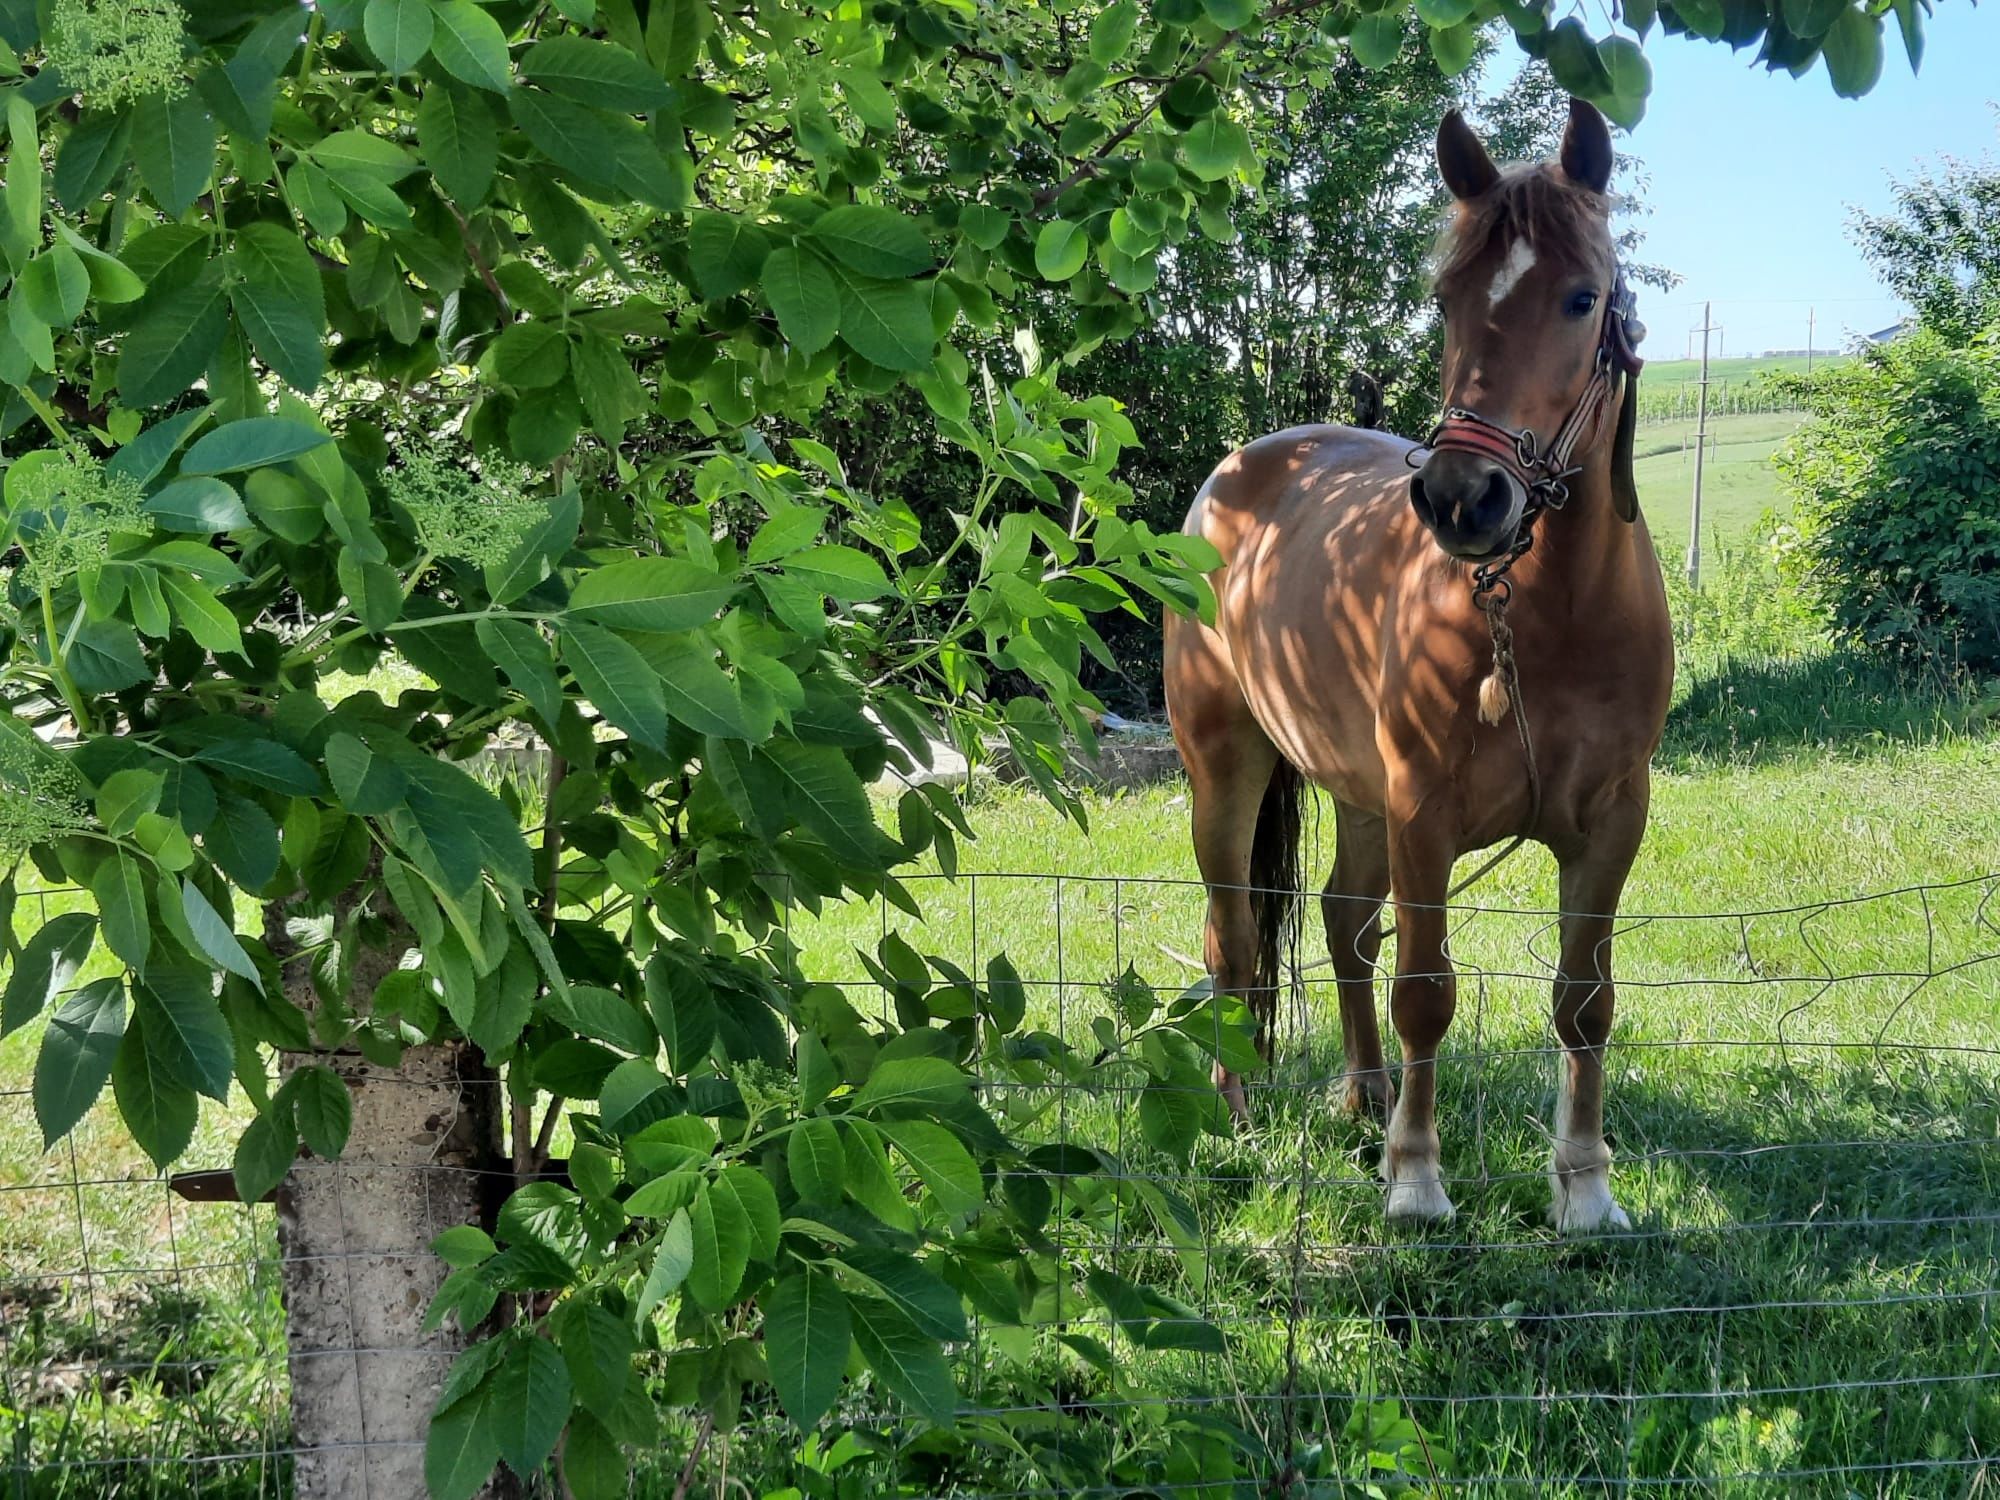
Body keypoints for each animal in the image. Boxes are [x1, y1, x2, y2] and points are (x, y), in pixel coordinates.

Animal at [1168, 103, 1680, 1232]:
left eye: (1583, 298)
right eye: (1446, 300)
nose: (1460, 498)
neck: (1547, 619)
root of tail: (1238, 471)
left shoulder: (1612, 824)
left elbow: (1584, 1000)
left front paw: (1585, 1189)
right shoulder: (1424, 818)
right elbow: (1425, 991)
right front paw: (1413, 1178)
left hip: (1357, 793)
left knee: (1341, 923)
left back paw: (1361, 1093)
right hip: (1226, 772)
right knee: (1233, 937)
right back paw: (1235, 1111)